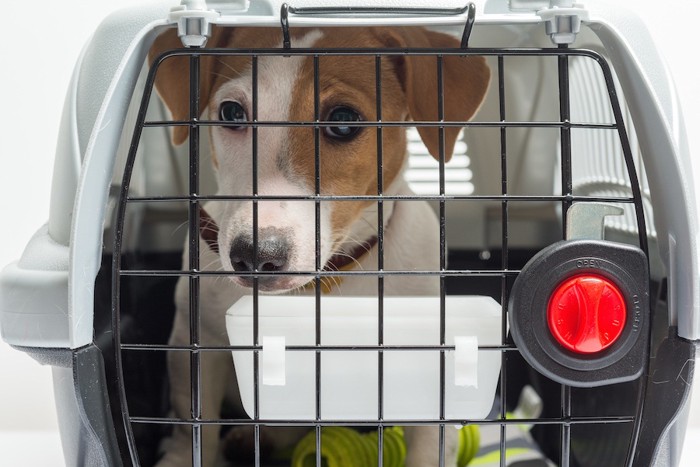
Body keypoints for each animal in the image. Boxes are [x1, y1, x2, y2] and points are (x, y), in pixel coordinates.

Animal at [150, 24, 490, 467]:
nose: (255, 255)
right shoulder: (197, 345)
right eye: (231, 112)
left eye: (343, 121)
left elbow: (427, 446)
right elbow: (195, 427)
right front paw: (181, 454)